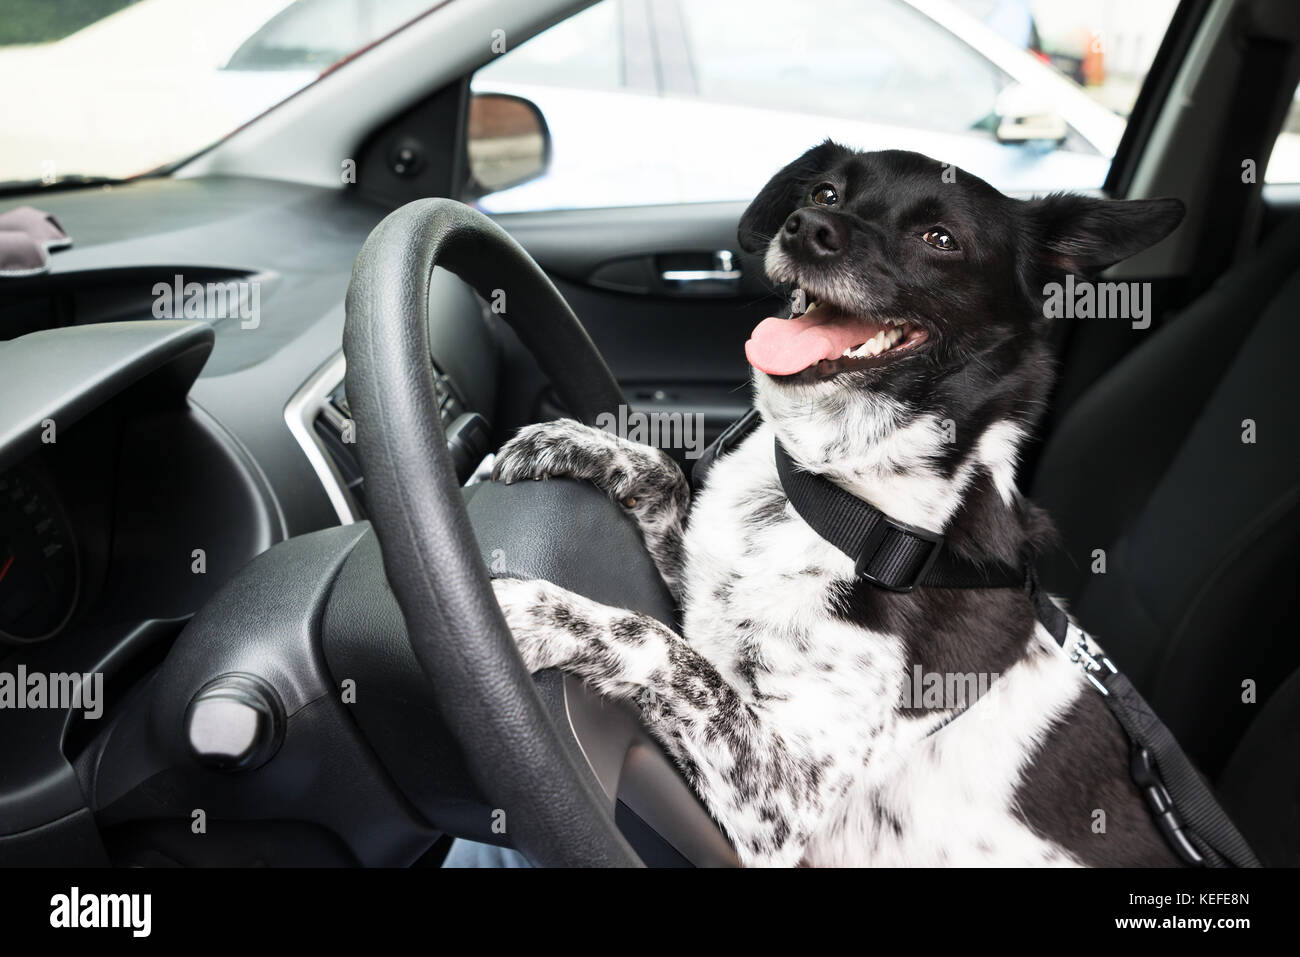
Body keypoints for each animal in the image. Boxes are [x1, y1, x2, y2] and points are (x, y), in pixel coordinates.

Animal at [488, 143, 1190, 868]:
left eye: (940, 239)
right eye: (825, 193)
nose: (804, 228)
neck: (836, 492)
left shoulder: (782, 794)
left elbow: (654, 641)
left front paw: (528, 610)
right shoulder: (703, 591)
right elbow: (663, 480)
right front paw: (569, 443)